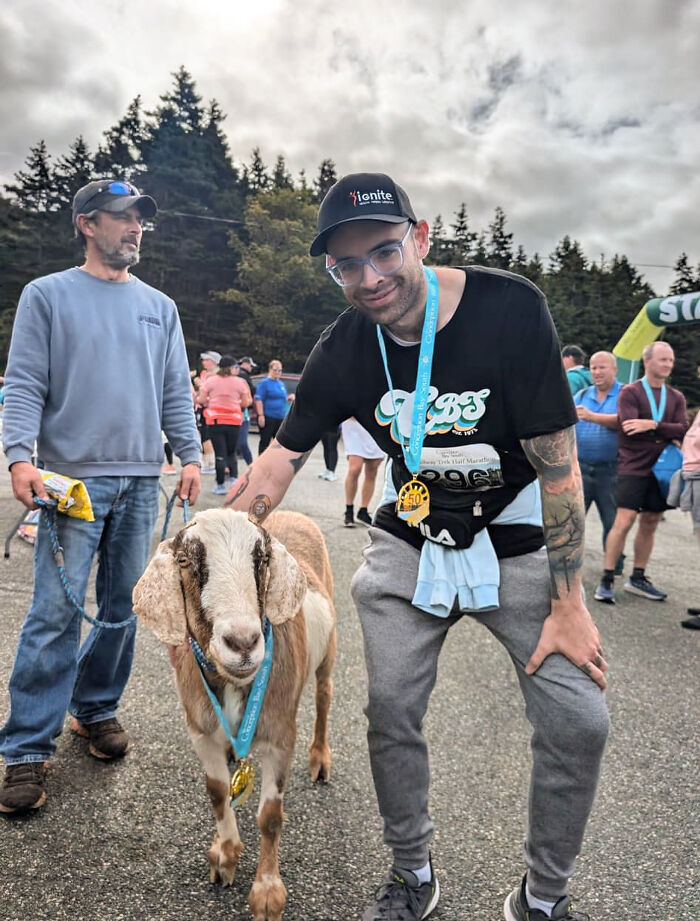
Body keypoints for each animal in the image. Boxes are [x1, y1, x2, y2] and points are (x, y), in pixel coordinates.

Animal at [135, 506, 340, 916]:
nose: (243, 643)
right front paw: (225, 855)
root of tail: (294, 513)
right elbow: (216, 792)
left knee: (324, 696)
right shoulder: (200, 729)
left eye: (262, 559)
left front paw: (267, 893)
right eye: (184, 561)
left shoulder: (280, 735)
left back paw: (320, 759)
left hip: (329, 648)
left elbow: (270, 816)